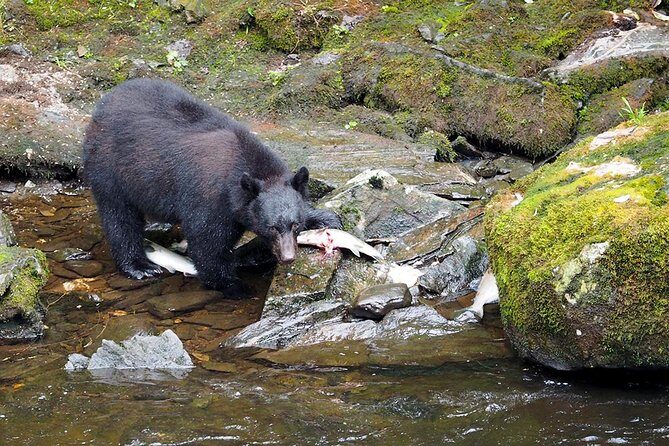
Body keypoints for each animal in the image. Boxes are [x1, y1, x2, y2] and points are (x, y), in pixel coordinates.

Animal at [83, 78, 342, 297]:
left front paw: (326, 218)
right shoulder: (210, 200)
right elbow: (206, 243)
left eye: (295, 224)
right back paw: (139, 266)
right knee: (119, 218)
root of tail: (104, 103)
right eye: (272, 227)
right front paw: (233, 285)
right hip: (109, 167)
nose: (288, 257)